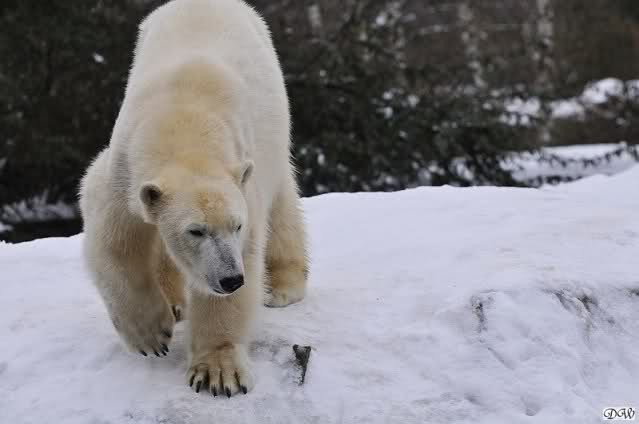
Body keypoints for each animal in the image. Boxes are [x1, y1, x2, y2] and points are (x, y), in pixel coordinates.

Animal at [79, 0, 308, 397]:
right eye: (195, 231)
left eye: (236, 226)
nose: (231, 279)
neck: (183, 119)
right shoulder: (124, 172)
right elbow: (115, 242)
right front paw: (151, 335)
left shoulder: (243, 179)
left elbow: (246, 256)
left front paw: (217, 373)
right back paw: (174, 304)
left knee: (281, 207)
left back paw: (281, 288)